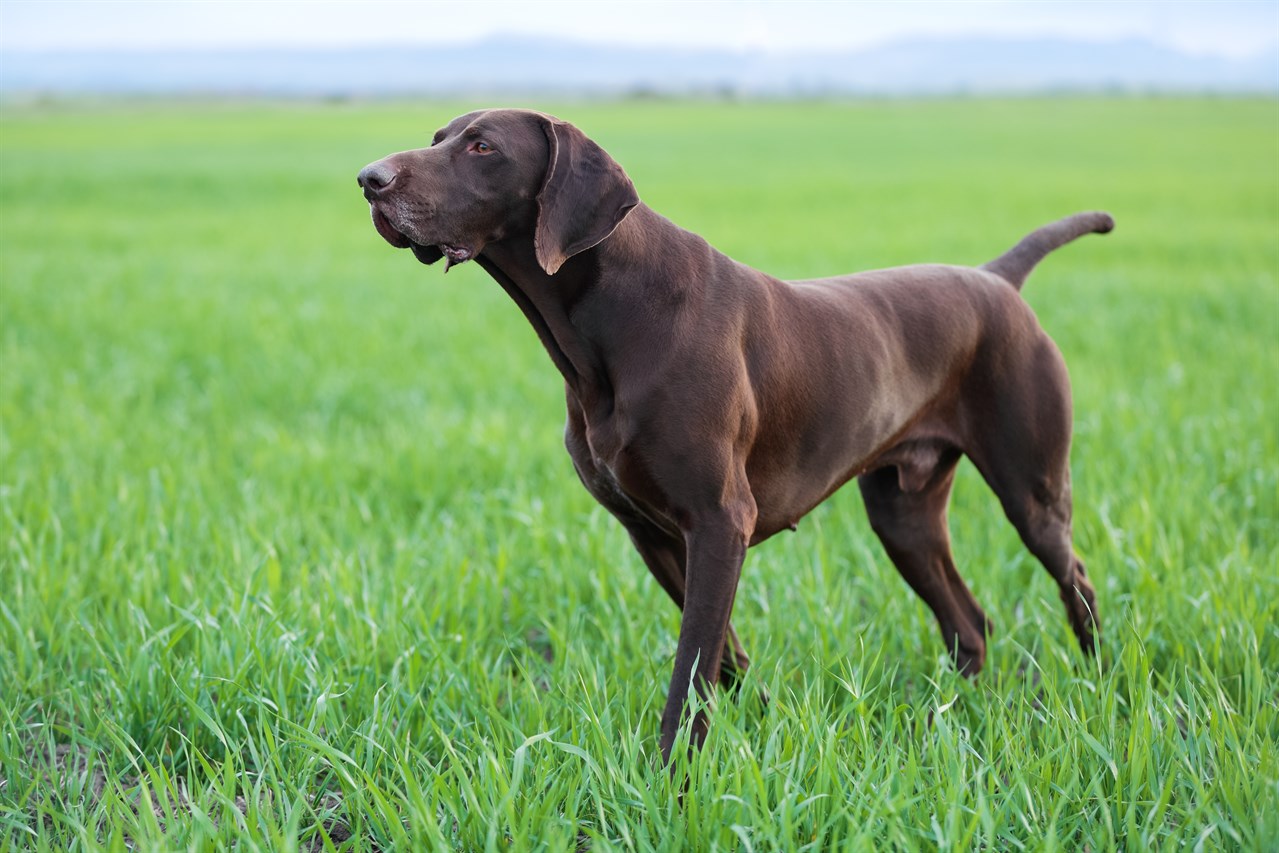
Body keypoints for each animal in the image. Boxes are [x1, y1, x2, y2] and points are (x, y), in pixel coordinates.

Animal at [355, 108, 1105, 762]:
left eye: (482, 146)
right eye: (438, 138)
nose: (368, 178)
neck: (612, 317)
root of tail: (994, 280)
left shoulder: (719, 520)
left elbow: (691, 665)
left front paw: (672, 779)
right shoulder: (654, 533)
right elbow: (722, 659)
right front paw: (756, 730)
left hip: (1032, 490)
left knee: (1076, 584)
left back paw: (1098, 687)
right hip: (903, 514)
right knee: (968, 623)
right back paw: (953, 715)